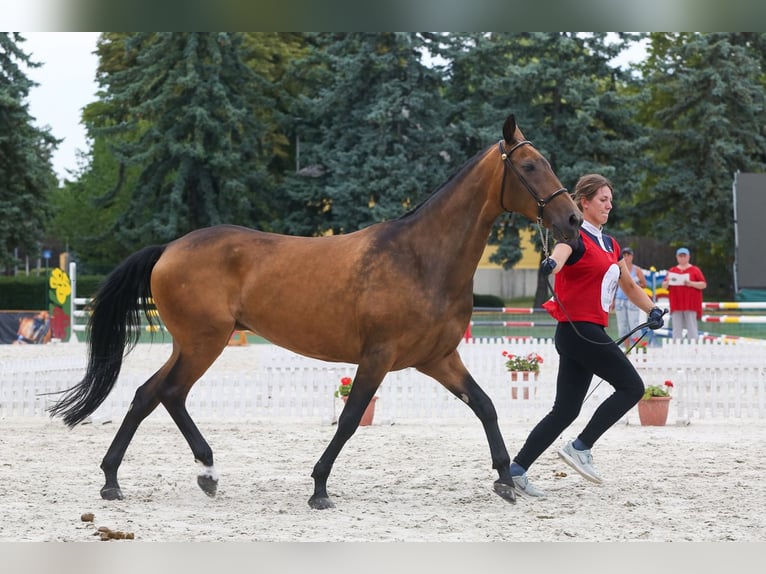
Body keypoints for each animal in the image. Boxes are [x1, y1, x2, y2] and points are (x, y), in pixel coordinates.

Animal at [49, 115, 584, 510]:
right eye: (530, 166)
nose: (574, 219)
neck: (420, 258)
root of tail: (168, 249)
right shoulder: (378, 357)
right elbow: (348, 420)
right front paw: (320, 488)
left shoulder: (438, 359)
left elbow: (486, 406)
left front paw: (505, 481)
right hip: (205, 342)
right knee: (169, 393)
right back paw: (191, 472)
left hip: (192, 342)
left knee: (148, 394)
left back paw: (125, 478)